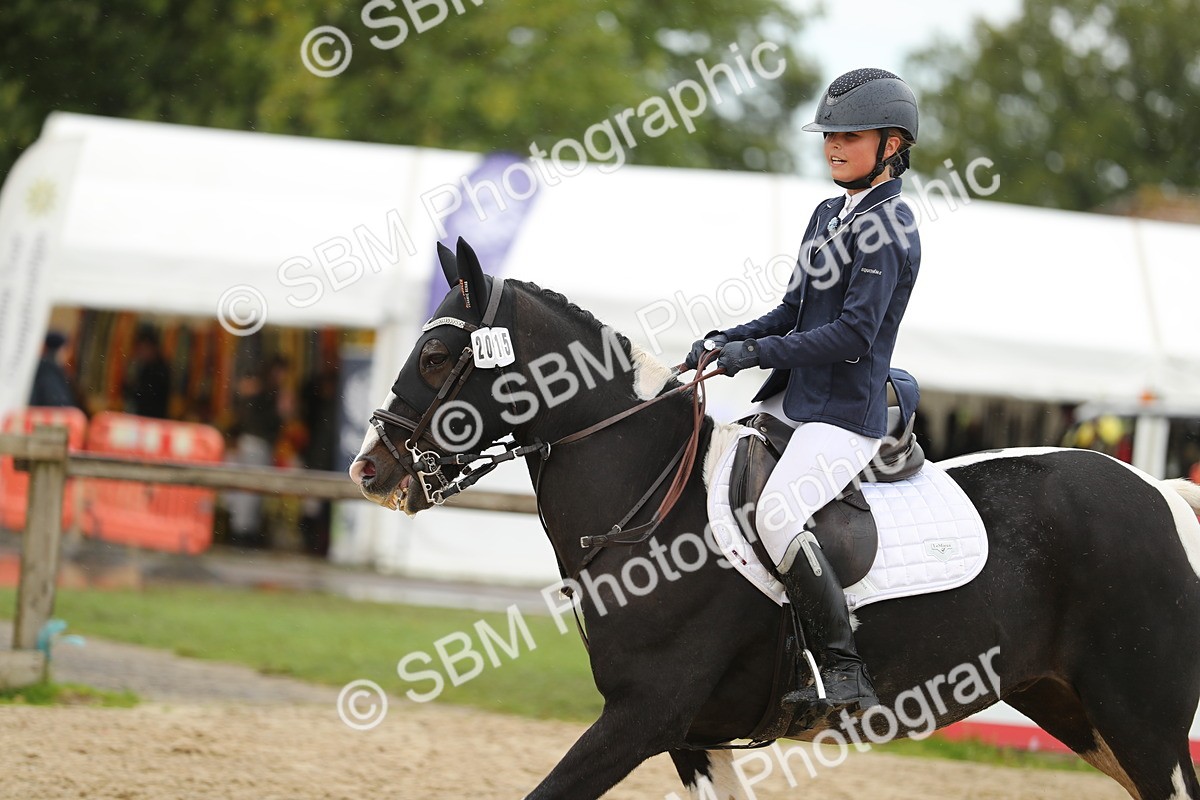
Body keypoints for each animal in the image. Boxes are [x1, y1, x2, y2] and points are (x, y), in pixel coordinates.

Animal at [350, 238, 1200, 800]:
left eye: (435, 357)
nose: (369, 470)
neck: (650, 505)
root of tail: (1158, 491)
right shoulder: (692, 736)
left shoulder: (642, 716)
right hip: (1077, 709)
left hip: (1143, 722)